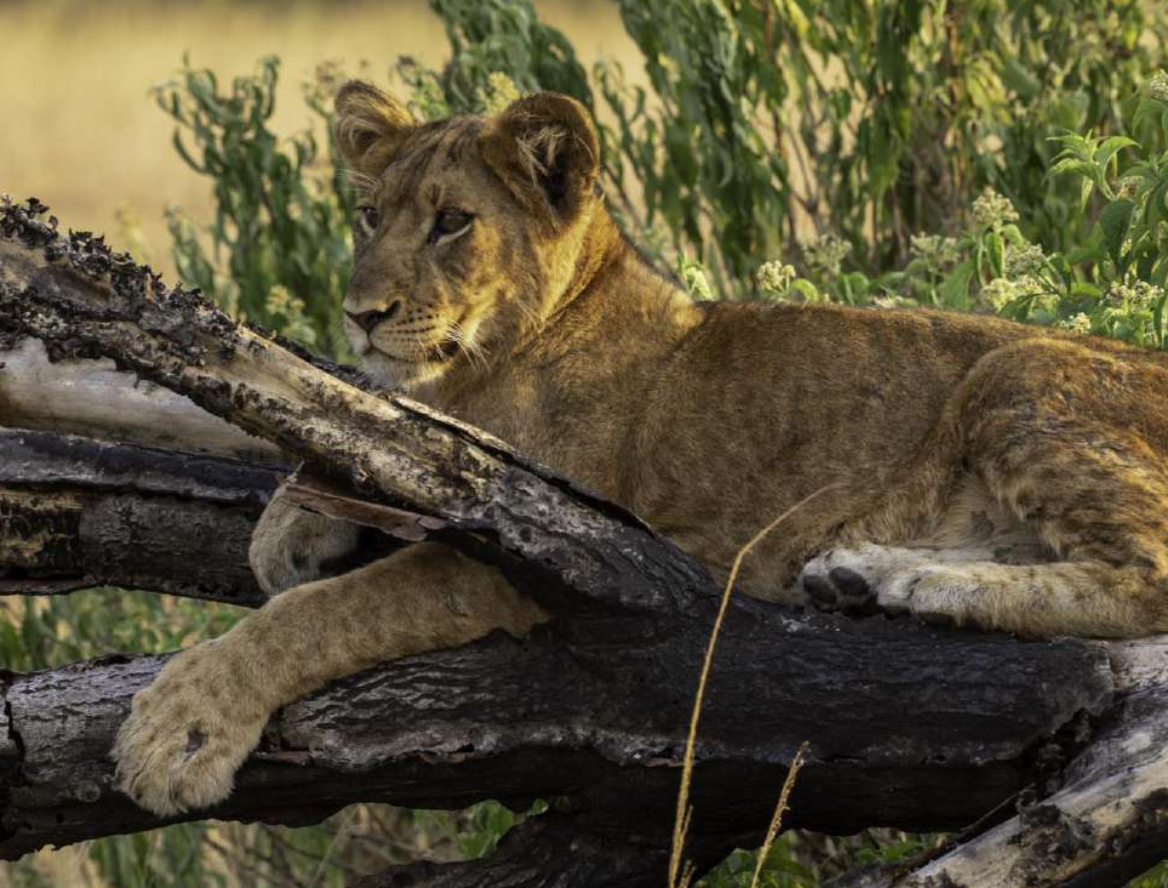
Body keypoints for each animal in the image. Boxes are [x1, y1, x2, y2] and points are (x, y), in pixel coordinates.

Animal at [113, 80, 1168, 817]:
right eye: (371, 217)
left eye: (453, 222)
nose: (359, 314)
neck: (492, 358)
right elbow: (359, 428)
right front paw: (291, 524)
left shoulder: (534, 547)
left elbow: (322, 614)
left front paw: (182, 730)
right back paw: (863, 578)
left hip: (1015, 373)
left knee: (1146, 578)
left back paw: (905, 582)